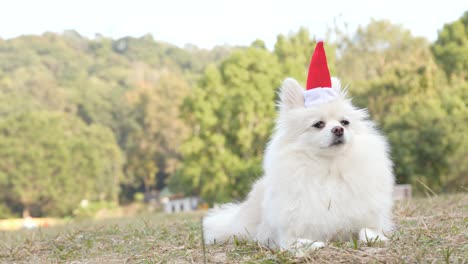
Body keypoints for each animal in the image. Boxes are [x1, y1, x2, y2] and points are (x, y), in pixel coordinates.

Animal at [204, 78, 394, 250]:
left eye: (345, 122)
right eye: (318, 124)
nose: (338, 129)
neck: (329, 168)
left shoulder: (366, 219)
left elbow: (367, 229)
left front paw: (375, 238)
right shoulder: (286, 234)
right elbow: (296, 240)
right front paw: (314, 244)